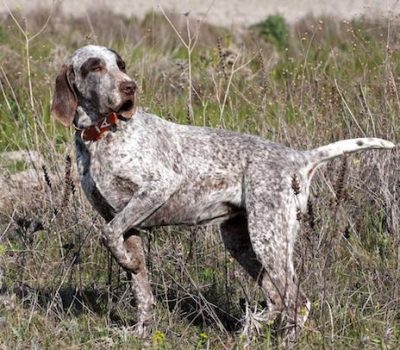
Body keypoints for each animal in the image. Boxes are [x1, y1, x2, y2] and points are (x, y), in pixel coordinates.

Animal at [51, 45, 396, 340]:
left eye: (120, 65)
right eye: (95, 66)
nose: (130, 87)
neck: (101, 136)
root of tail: (296, 157)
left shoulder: (158, 187)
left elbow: (108, 235)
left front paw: (127, 264)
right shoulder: (126, 221)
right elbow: (140, 288)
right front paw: (141, 331)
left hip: (269, 238)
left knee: (296, 301)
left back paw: (283, 338)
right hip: (241, 241)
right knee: (276, 300)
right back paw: (253, 327)